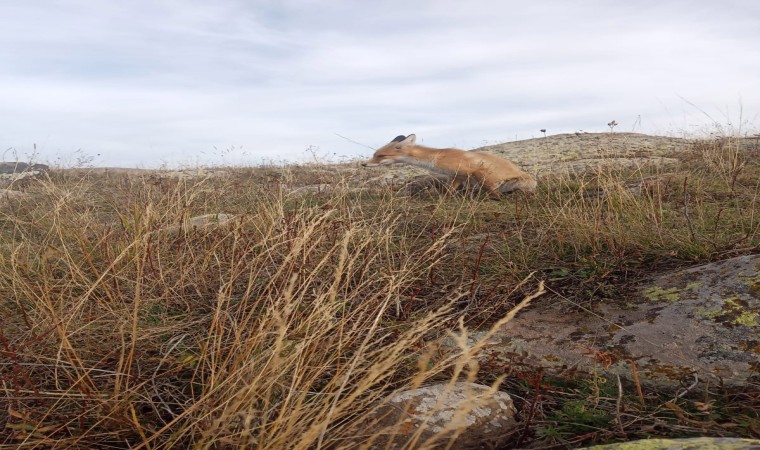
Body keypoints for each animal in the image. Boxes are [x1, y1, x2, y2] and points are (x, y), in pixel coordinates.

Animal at [360, 134, 536, 200]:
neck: (436, 158)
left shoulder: (477, 170)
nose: (363, 164)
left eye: (380, 156)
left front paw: (496, 198)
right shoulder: (456, 176)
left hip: (519, 183)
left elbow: (492, 190)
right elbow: (447, 192)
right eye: (375, 154)